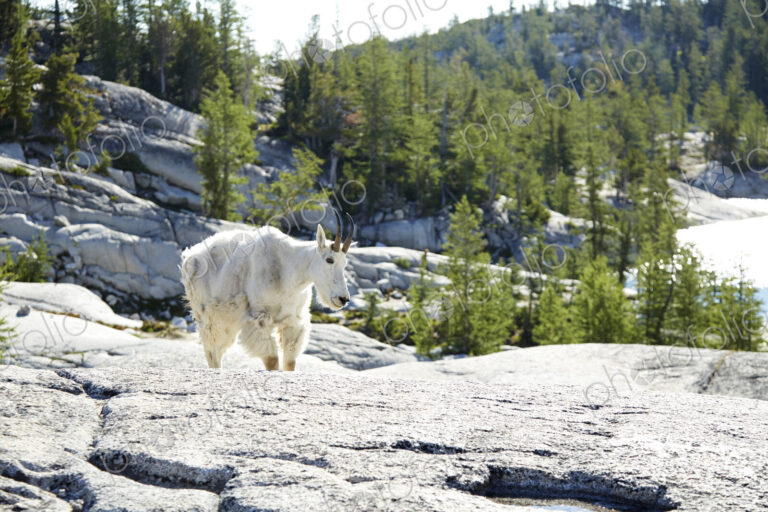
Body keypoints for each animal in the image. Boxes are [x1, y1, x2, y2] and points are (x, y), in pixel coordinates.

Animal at [180, 211, 354, 370]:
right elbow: (272, 361)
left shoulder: (293, 320)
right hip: (207, 315)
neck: (288, 272)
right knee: (212, 350)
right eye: (329, 260)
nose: (343, 299)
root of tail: (189, 255)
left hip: (227, 320)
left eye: (345, 263)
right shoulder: (259, 318)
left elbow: (290, 362)